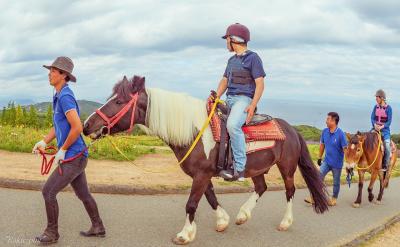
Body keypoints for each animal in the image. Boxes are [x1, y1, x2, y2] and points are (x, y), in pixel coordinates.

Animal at [82, 75, 328, 245]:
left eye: (119, 101)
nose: (87, 125)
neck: (194, 131)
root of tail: (292, 129)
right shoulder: (203, 174)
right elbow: (210, 197)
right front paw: (222, 221)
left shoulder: (201, 174)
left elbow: (192, 203)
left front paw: (184, 235)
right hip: (256, 168)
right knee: (261, 187)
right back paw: (242, 215)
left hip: (286, 167)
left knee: (289, 191)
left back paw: (285, 222)